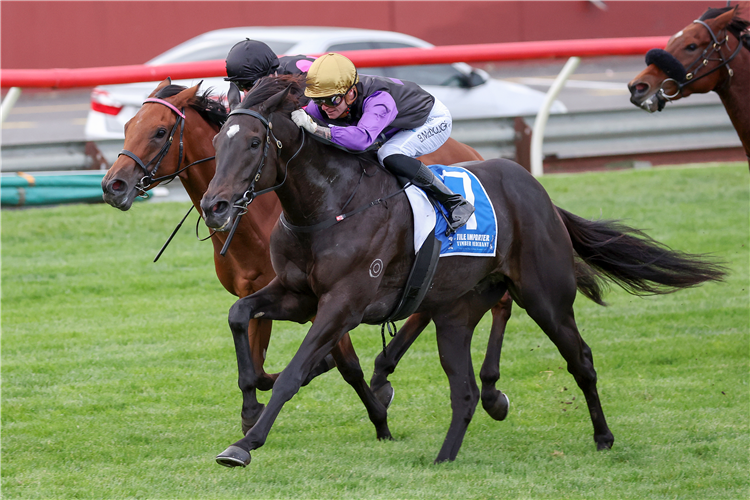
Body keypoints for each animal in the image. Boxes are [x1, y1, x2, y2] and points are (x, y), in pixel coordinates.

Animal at [100, 77, 516, 434]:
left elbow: (344, 365)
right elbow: (257, 360)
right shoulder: (266, 293)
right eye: (128, 126)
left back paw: (491, 392)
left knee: (500, 302)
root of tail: (473, 151)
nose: (112, 185)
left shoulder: (331, 301)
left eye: (159, 131)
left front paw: (375, 414)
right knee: (428, 307)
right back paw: (386, 371)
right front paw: (253, 412)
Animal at [200, 76, 728, 466]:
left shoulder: (343, 305)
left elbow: (293, 372)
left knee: (579, 359)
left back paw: (603, 438)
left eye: (254, 142)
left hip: (545, 296)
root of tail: (535, 189)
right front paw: (249, 406)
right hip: (456, 312)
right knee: (466, 389)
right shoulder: (297, 295)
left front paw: (245, 444)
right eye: (218, 142)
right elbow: (238, 315)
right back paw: (445, 455)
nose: (215, 206)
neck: (331, 205)